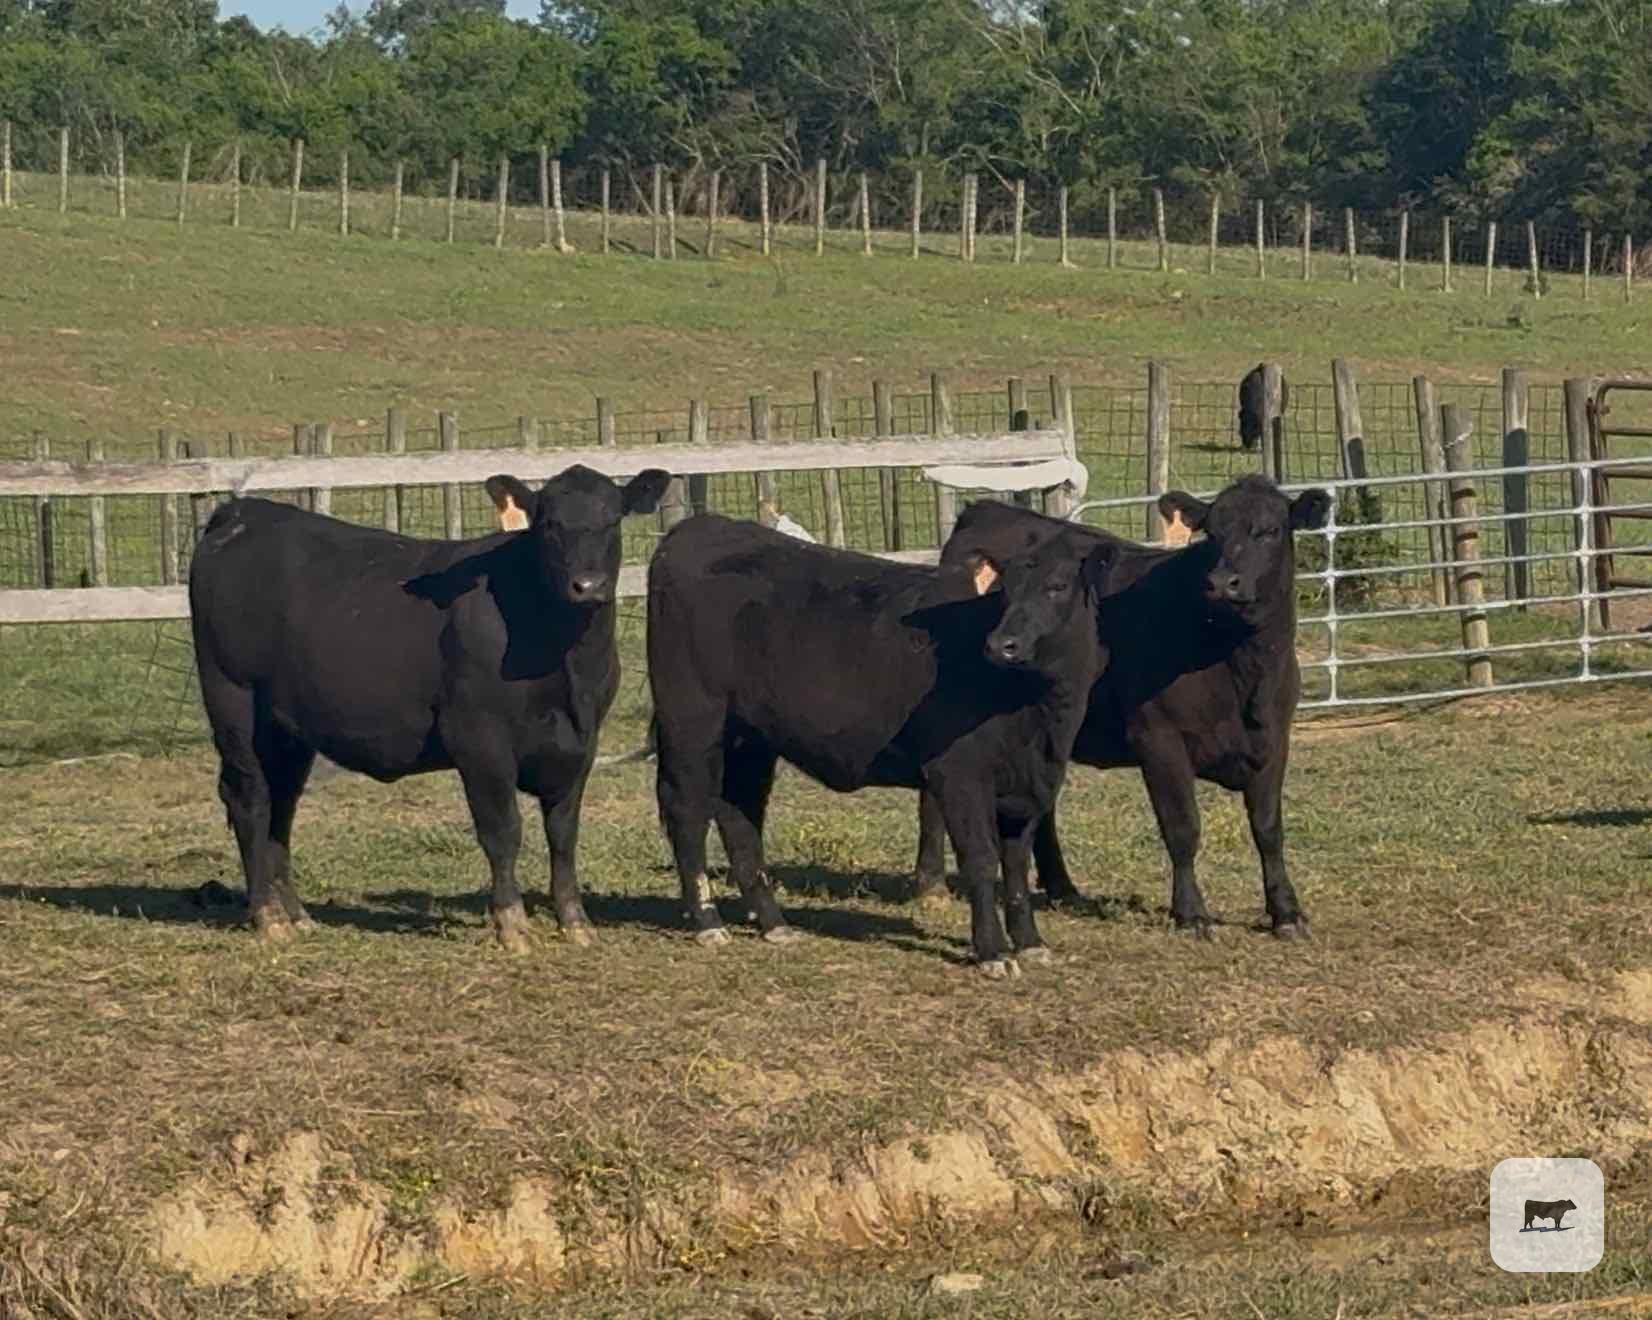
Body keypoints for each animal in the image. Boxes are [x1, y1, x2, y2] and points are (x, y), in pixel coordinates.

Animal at [188, 463, 671, 951]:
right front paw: (512, 925)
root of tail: (243, 513)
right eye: (550, 525)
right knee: (250, 798)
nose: (587, 586)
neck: (565, 663)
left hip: (287, 727)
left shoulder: (581, 744)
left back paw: (297, 914)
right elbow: (503, 831)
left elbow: (564, 833)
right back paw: (268, 918)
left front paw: (575, 922)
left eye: (612, 519)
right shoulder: (480, 741)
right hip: (233, 700)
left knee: (281, 805)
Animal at [645, 514, 1113, 975]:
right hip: (692, 722)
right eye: (1005, 592)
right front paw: (993, 952)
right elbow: (981, 858)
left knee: (739, 816)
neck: (1038, 716)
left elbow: (1016, 865)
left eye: (1057, 586)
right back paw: (708, 922)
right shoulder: (959, 773)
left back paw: (774, 924)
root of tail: (698, 527)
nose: (1002, 645)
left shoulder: (1031, 782)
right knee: (688, 812)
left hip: (749, 739)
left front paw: (1031, 943)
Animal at [913, 473, 1331, 938]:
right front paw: (1191, 913)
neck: (1242, 668)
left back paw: (1063, 888)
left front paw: (1286, 911)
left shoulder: (1274, 741)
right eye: (1212, 533)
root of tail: (985, 512)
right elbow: (1183, 828)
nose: (1224, 582)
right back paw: (930, 882)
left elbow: (1268, 829)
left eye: (1270, 530)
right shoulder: (1160, 740)